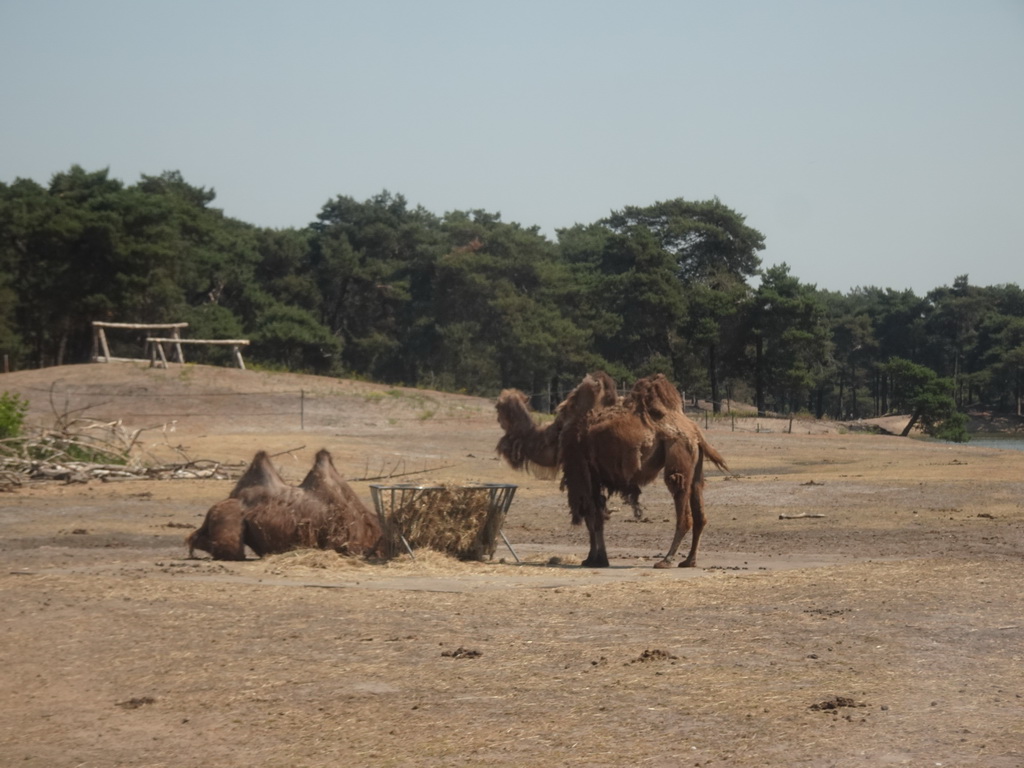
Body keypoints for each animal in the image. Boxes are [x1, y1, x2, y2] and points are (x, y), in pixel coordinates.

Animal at [495, 376, 729, 569]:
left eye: (499, 408)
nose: (497, 414)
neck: (557, 435)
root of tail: (695, 431)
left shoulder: (580, 469)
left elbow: (591, 516)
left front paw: (595, 559)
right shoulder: (596, 476)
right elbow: (596, 516)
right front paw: (596, 558)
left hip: (677, 451)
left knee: (682, 505)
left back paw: (666, 560)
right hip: (695, 465)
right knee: (699, 509)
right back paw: (689, 560)